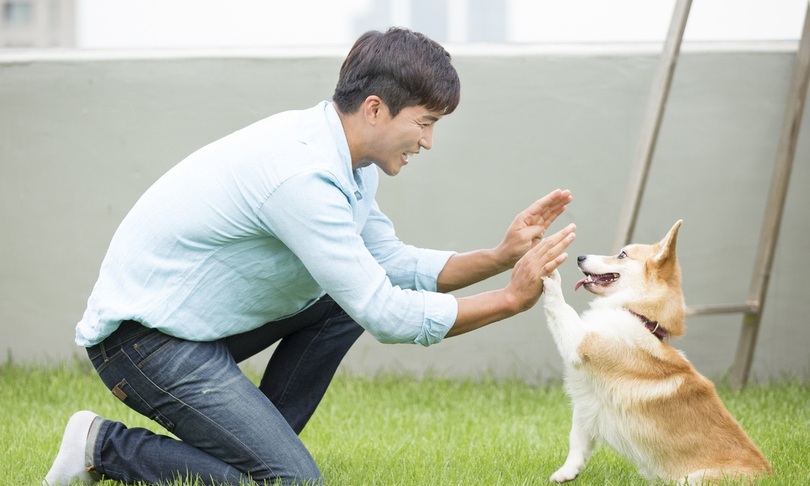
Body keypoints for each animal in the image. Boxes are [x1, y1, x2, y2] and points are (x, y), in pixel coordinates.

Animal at [540, 222, 768, 484]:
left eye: (622, 254)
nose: (580, 257)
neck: (640, 316)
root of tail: (768, 475)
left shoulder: (580, 340)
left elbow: (561, 308)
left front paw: (551, 275)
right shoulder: (588, 403)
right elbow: (577, 441)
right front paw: (567, 473)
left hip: (693, 479)